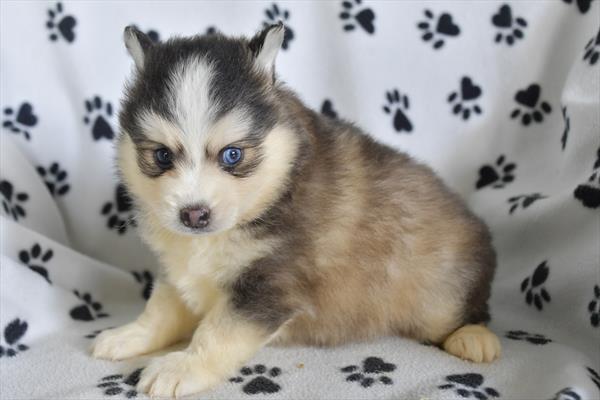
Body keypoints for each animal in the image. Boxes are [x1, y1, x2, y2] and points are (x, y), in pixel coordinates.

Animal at [90, 23, 502, 398]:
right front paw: (129, 335)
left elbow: (217, 331)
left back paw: (474, 337)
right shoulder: (179, 270)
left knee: (468, 310)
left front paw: (182, 366)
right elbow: (160, 309)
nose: (194, 215)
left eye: (232, 155)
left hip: (441, 295)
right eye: (161, 156)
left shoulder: (270, 286)